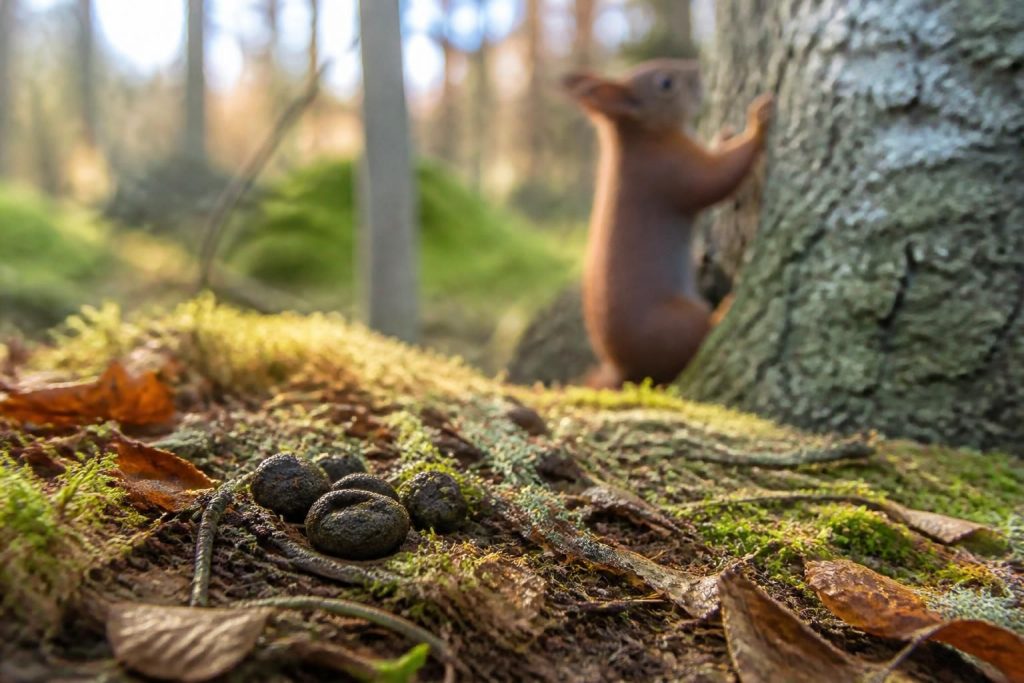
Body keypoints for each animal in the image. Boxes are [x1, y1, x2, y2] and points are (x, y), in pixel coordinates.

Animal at [563, 59, 773, 389]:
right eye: (665, 83)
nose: (698, 68)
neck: (644, 137)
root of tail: (625, 369)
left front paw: (725, 136)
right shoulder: (670, 172)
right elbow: (718, 178)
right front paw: (757, 123)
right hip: (678, 321)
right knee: (696, 341)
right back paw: (723, 313)